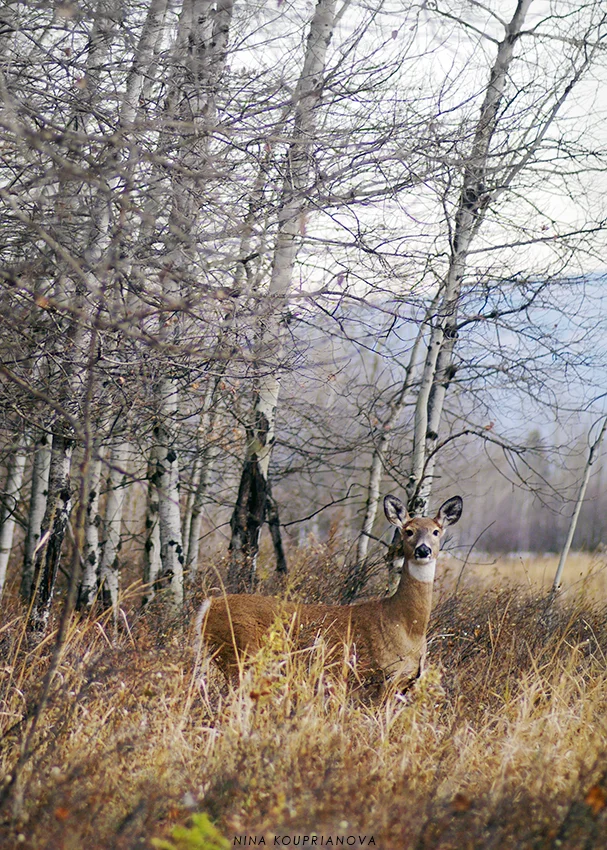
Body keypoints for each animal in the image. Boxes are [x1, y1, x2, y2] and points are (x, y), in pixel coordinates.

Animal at [197, 493, 463, 693]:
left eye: (436, 531)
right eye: (408, 531)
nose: (423, 550)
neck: (406, 625)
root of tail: (209, 606)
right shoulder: (380, 676)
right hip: (240, 655)